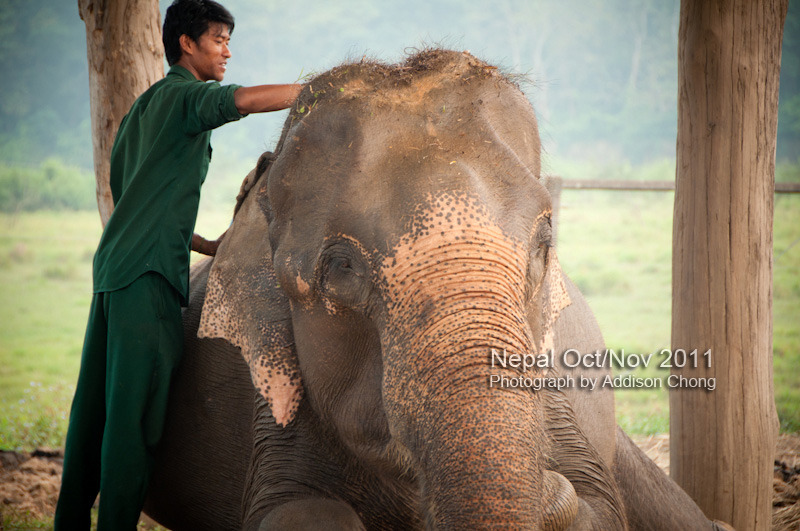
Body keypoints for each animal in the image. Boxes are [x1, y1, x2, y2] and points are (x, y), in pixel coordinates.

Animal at [139, 47, 732, 528]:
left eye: (543, 244)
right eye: (340, 268)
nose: (546, 486)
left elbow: (598, 508)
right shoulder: (280, 402)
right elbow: (295, 512)